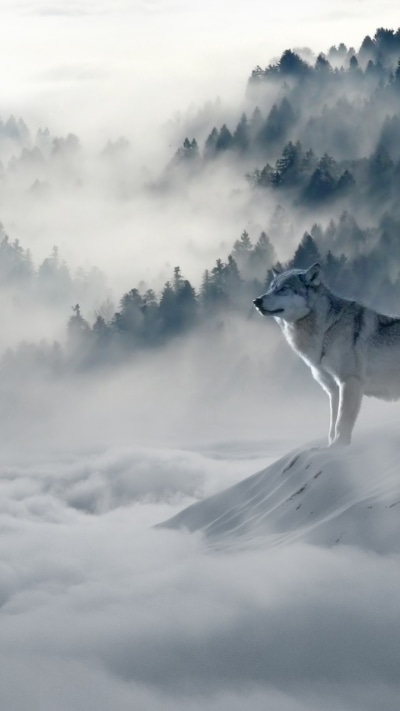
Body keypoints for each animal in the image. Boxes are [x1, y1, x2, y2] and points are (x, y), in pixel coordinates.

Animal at [253, 262, 400, 447]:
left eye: (283, 289)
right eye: (271, 288)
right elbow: (332, 426)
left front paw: (339, 446)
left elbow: (341, 424)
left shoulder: (349, 382)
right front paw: (330, 447)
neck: (326, 330)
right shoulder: (333, 390)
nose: (256, 301)